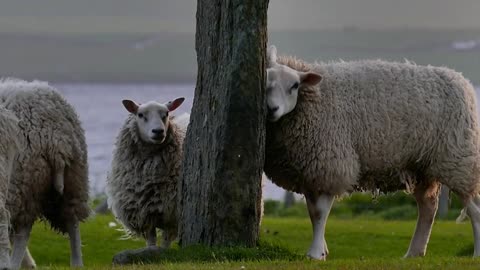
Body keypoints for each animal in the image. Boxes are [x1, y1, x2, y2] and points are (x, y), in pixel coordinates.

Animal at [106, 97, 188, 249]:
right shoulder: (144, 214)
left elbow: (165, 242)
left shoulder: (171, 214)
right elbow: (151, 240)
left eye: (166, 113)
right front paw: (151, 250)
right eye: (140, 114)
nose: (158, 131)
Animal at [264, 46, 480, 260]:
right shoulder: (310, 172)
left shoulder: (332, 166)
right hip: (421, 166)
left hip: (458, 161)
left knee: (474, 210)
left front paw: (316, 253)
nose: (271, 108)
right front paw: (322, 250)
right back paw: (413, 253)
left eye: (294, 85)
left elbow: (319, 213)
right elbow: (311, 212)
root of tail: (462, 80)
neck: (316, 98)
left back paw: (475, 254)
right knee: (428, 207)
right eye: (266, 82)